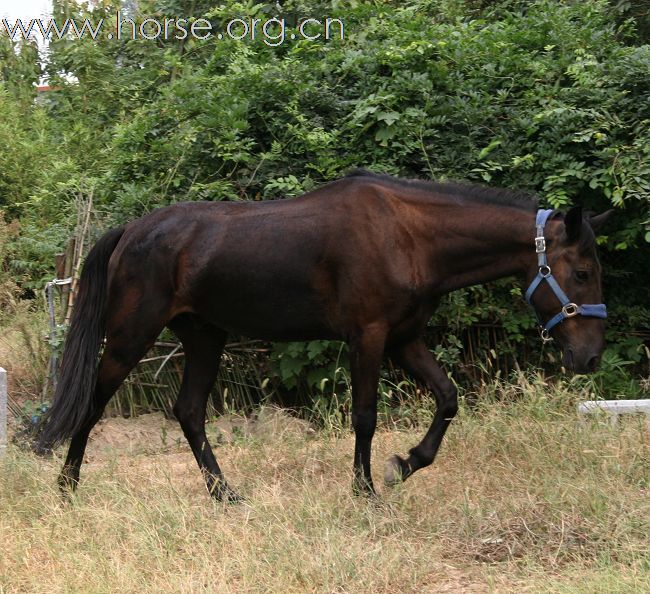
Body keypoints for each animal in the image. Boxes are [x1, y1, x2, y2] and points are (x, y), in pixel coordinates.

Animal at [39, 169, 608, 498]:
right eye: (582, 273)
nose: (591, 358)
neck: (408, 236)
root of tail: (130, 231)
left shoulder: (404, 338)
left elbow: (448, 398)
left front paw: (406, 464)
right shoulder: (369, 337)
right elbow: (365, 417)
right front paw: (365, 490)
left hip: (205, 337)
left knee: (189, 412)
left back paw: (224, 494)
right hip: (131, 337)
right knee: (92, 403)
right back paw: (67, 488)